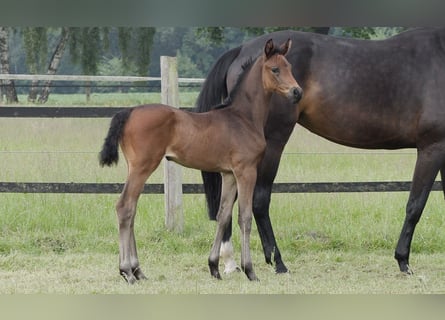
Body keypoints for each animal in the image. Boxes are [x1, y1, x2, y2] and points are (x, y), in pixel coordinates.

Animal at [99, 38, 302, 282]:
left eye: (289, 67)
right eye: (275, 69)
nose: (297, 92)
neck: (243, 118)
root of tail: (129, 112)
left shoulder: (228, 174)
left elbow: (223, 215)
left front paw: (214, 267)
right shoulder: (246, 171)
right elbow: (244, 217)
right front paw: (250, 270)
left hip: (134, 168)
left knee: (132, 209)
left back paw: (138, 271)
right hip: (143, 167)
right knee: (125, 207)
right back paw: (127, 271)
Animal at [195, 27, 445, 276]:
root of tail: (241, 50)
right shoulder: (431, 148)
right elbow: (415, 205)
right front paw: (403, 260)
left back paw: (229, 261)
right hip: (271, 144)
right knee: (259, 200)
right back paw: (277, 262)